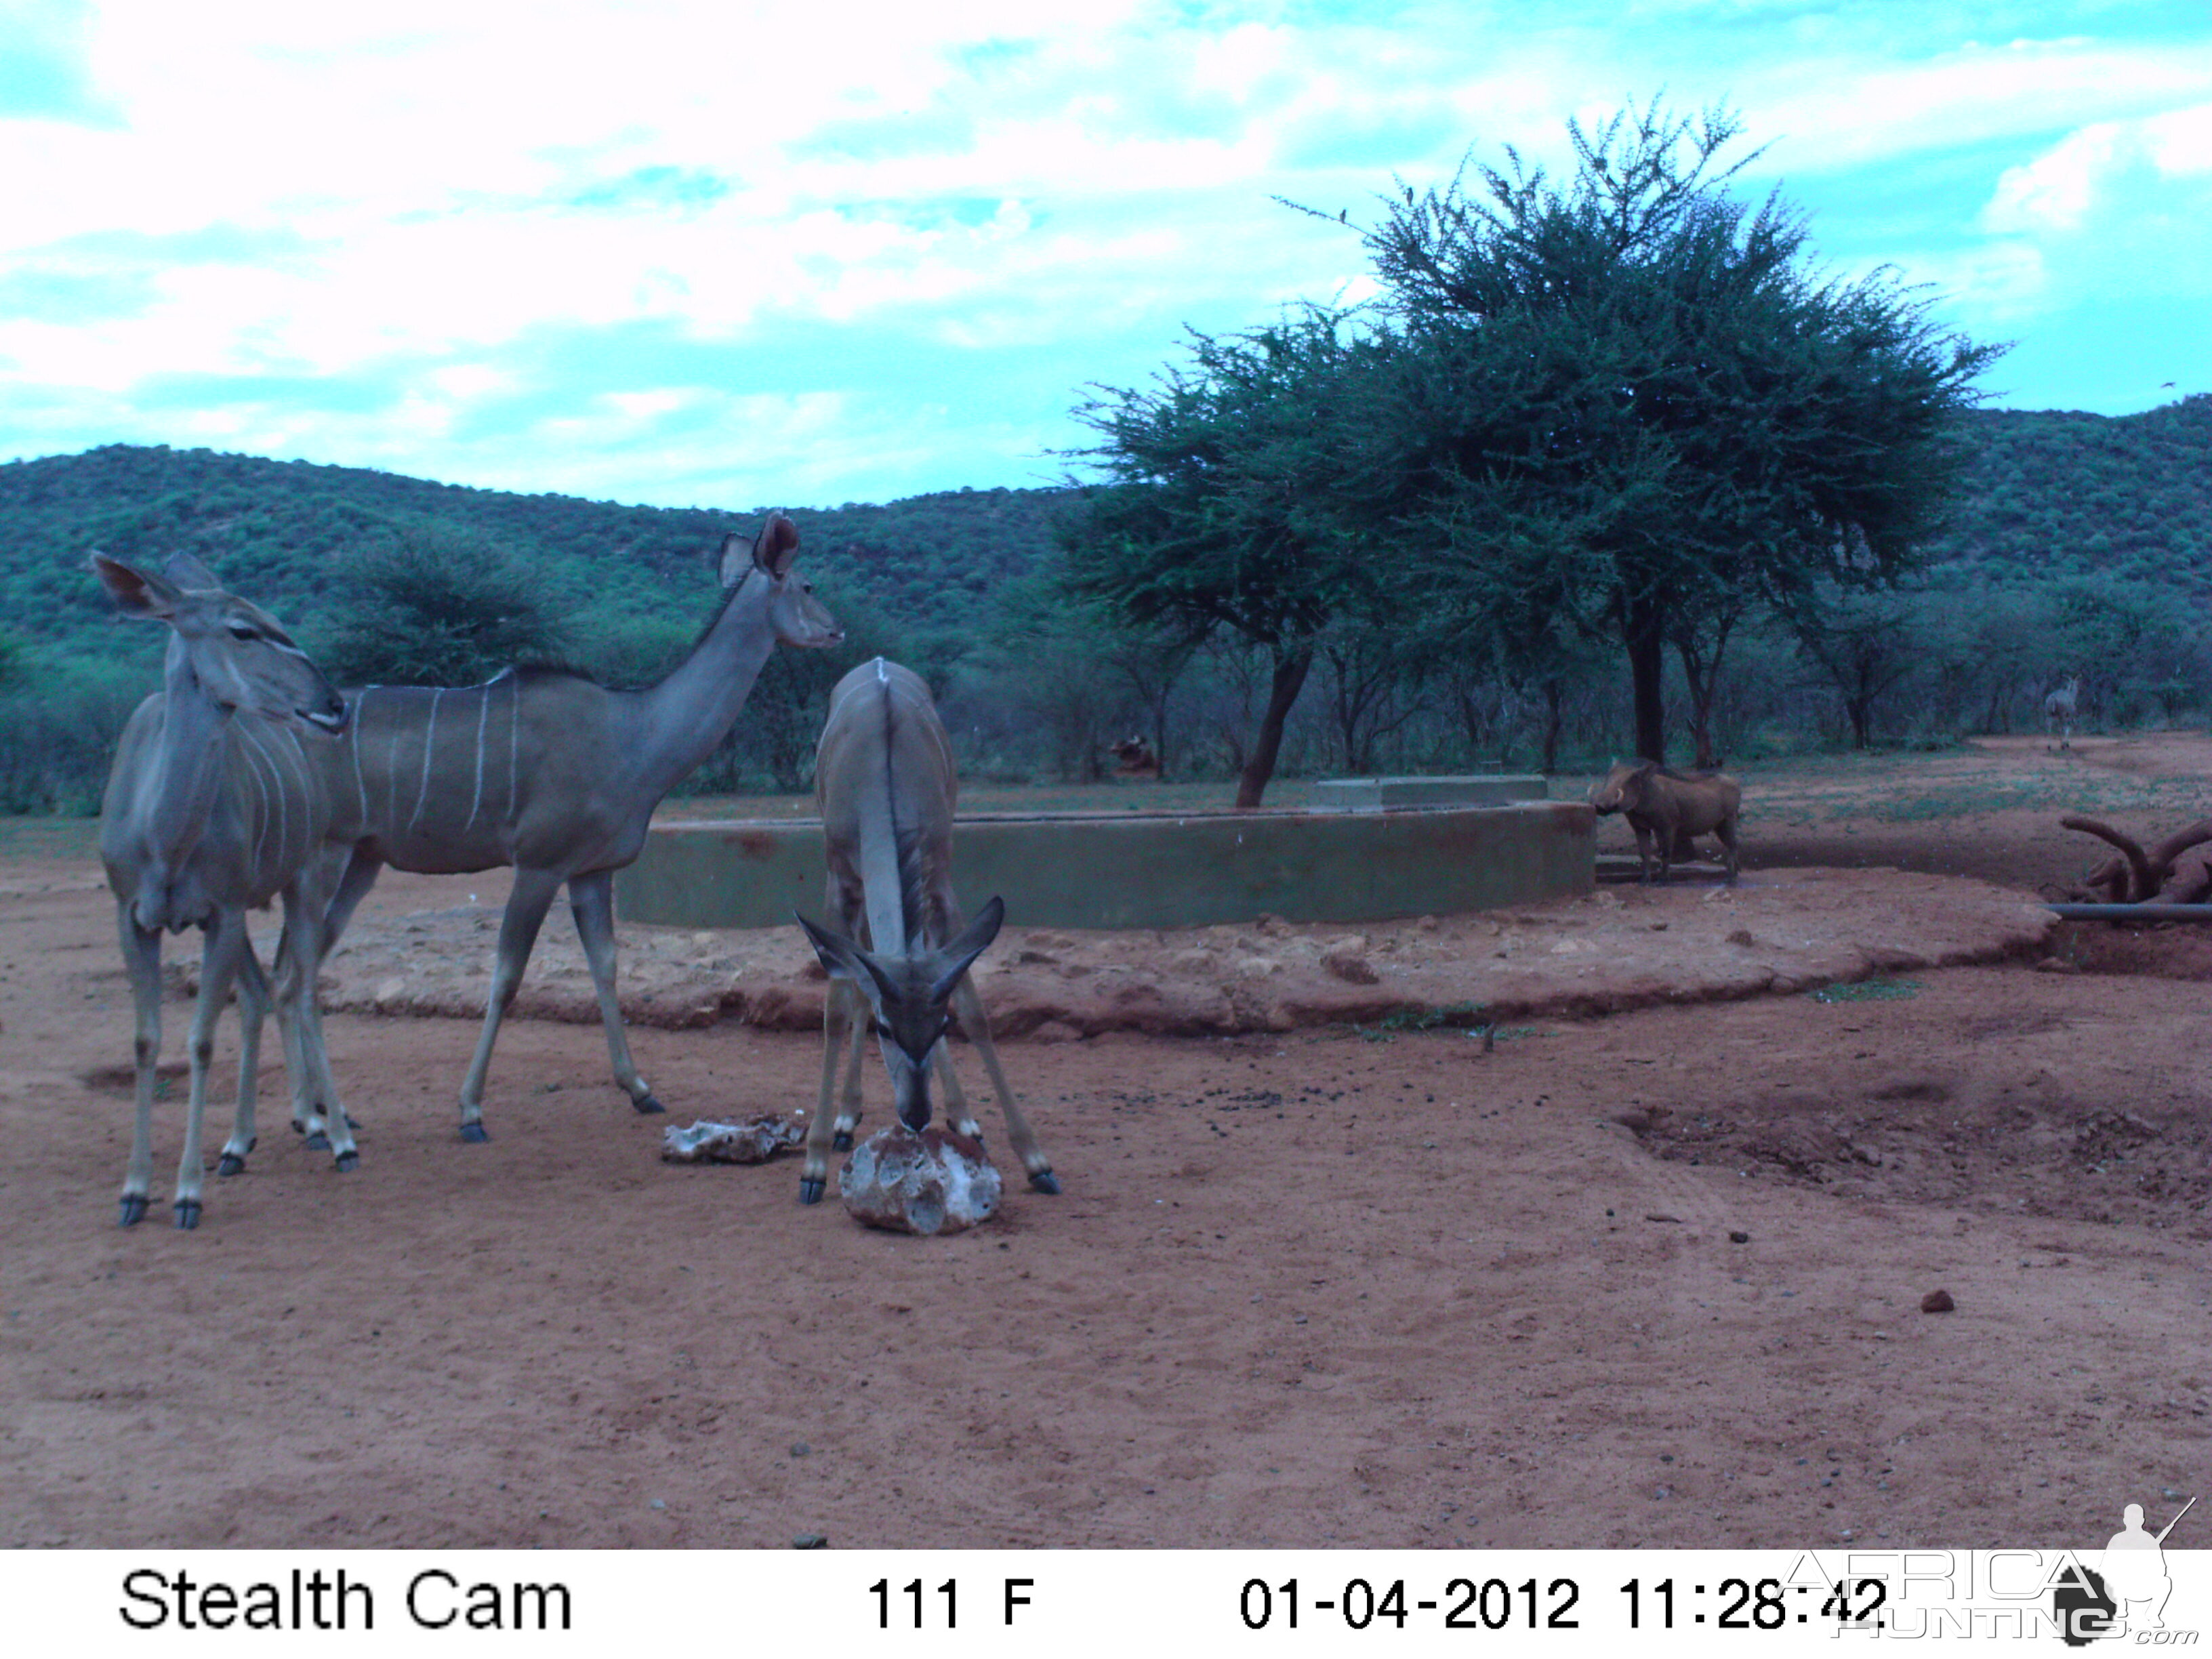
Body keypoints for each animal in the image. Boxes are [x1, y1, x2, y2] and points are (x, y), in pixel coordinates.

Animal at [96, 553, 356, 1229]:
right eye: (242, 630)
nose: (333, 704)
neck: (164, 838)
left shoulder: (222, 912)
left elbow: (201, 1041)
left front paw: (187, 1193)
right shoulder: (132, 918)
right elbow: (147, 1041)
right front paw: (135, 1191)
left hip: (304, 881)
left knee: (303, 992)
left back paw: (337, 1136)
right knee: (266, 994)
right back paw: (243, 1142)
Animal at [796, 659, 1061, 1212]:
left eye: (939, 1028)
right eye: (886, 1029)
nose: (916, 1115)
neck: (880, 773)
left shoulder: (940, 879)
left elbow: (975, 1009)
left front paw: (1036, 1161)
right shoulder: (839, 880)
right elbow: (837, 1010)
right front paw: (812, 1167)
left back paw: (961, 1118)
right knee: (856, 984)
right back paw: (846, 1118)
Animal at [1593, 760, 1743, 884]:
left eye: (1633, 777)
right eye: (1609, 776)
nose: (1599, 806)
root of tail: (1735, 781)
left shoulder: (1667, 827)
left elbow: (1664, 852)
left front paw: (1663, 881)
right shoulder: (1640, 828)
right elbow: (1644, 853)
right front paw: (1644, 881)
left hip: (1729, 819)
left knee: (1733, 845)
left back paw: (1731, 879)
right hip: (1719, 826)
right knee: (1732, 845)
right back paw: (1733, 875)